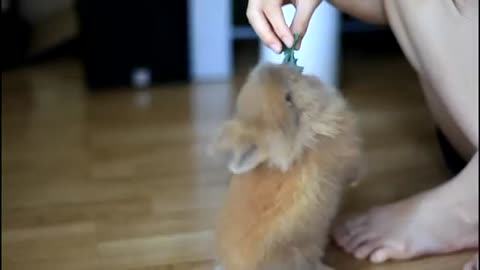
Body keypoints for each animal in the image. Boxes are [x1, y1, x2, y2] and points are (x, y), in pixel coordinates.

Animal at [210, 62, 364, 270]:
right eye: (288, 98)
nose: (269, 67)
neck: (303, 135)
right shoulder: (344, 153)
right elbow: (352, 167)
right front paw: (356, 180)